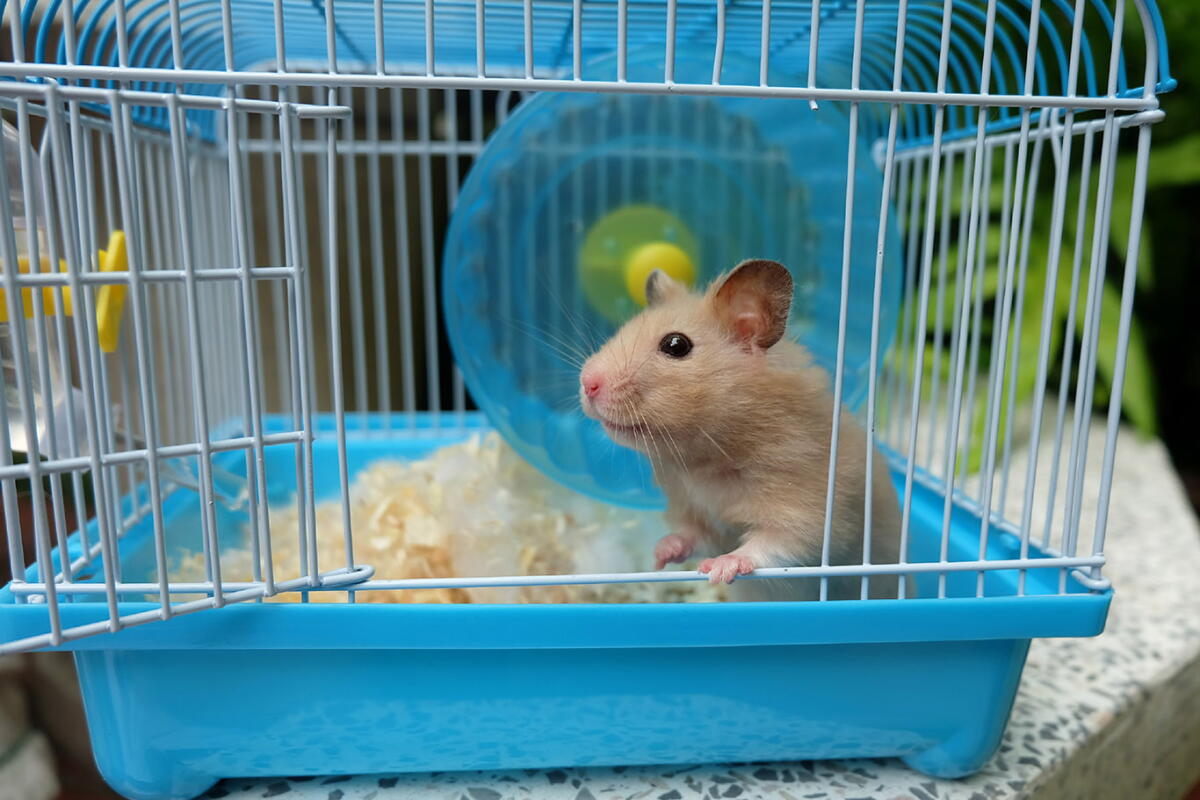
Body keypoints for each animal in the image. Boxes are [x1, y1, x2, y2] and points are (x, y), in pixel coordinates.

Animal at [578, 259, 906, 601]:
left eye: (675, 345)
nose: (587, 383)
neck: (707, 459)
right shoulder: (702, 518)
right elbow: (691, 536)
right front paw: (660, 555)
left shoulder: (812, 511)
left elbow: (774, 543)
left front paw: (719, 569)